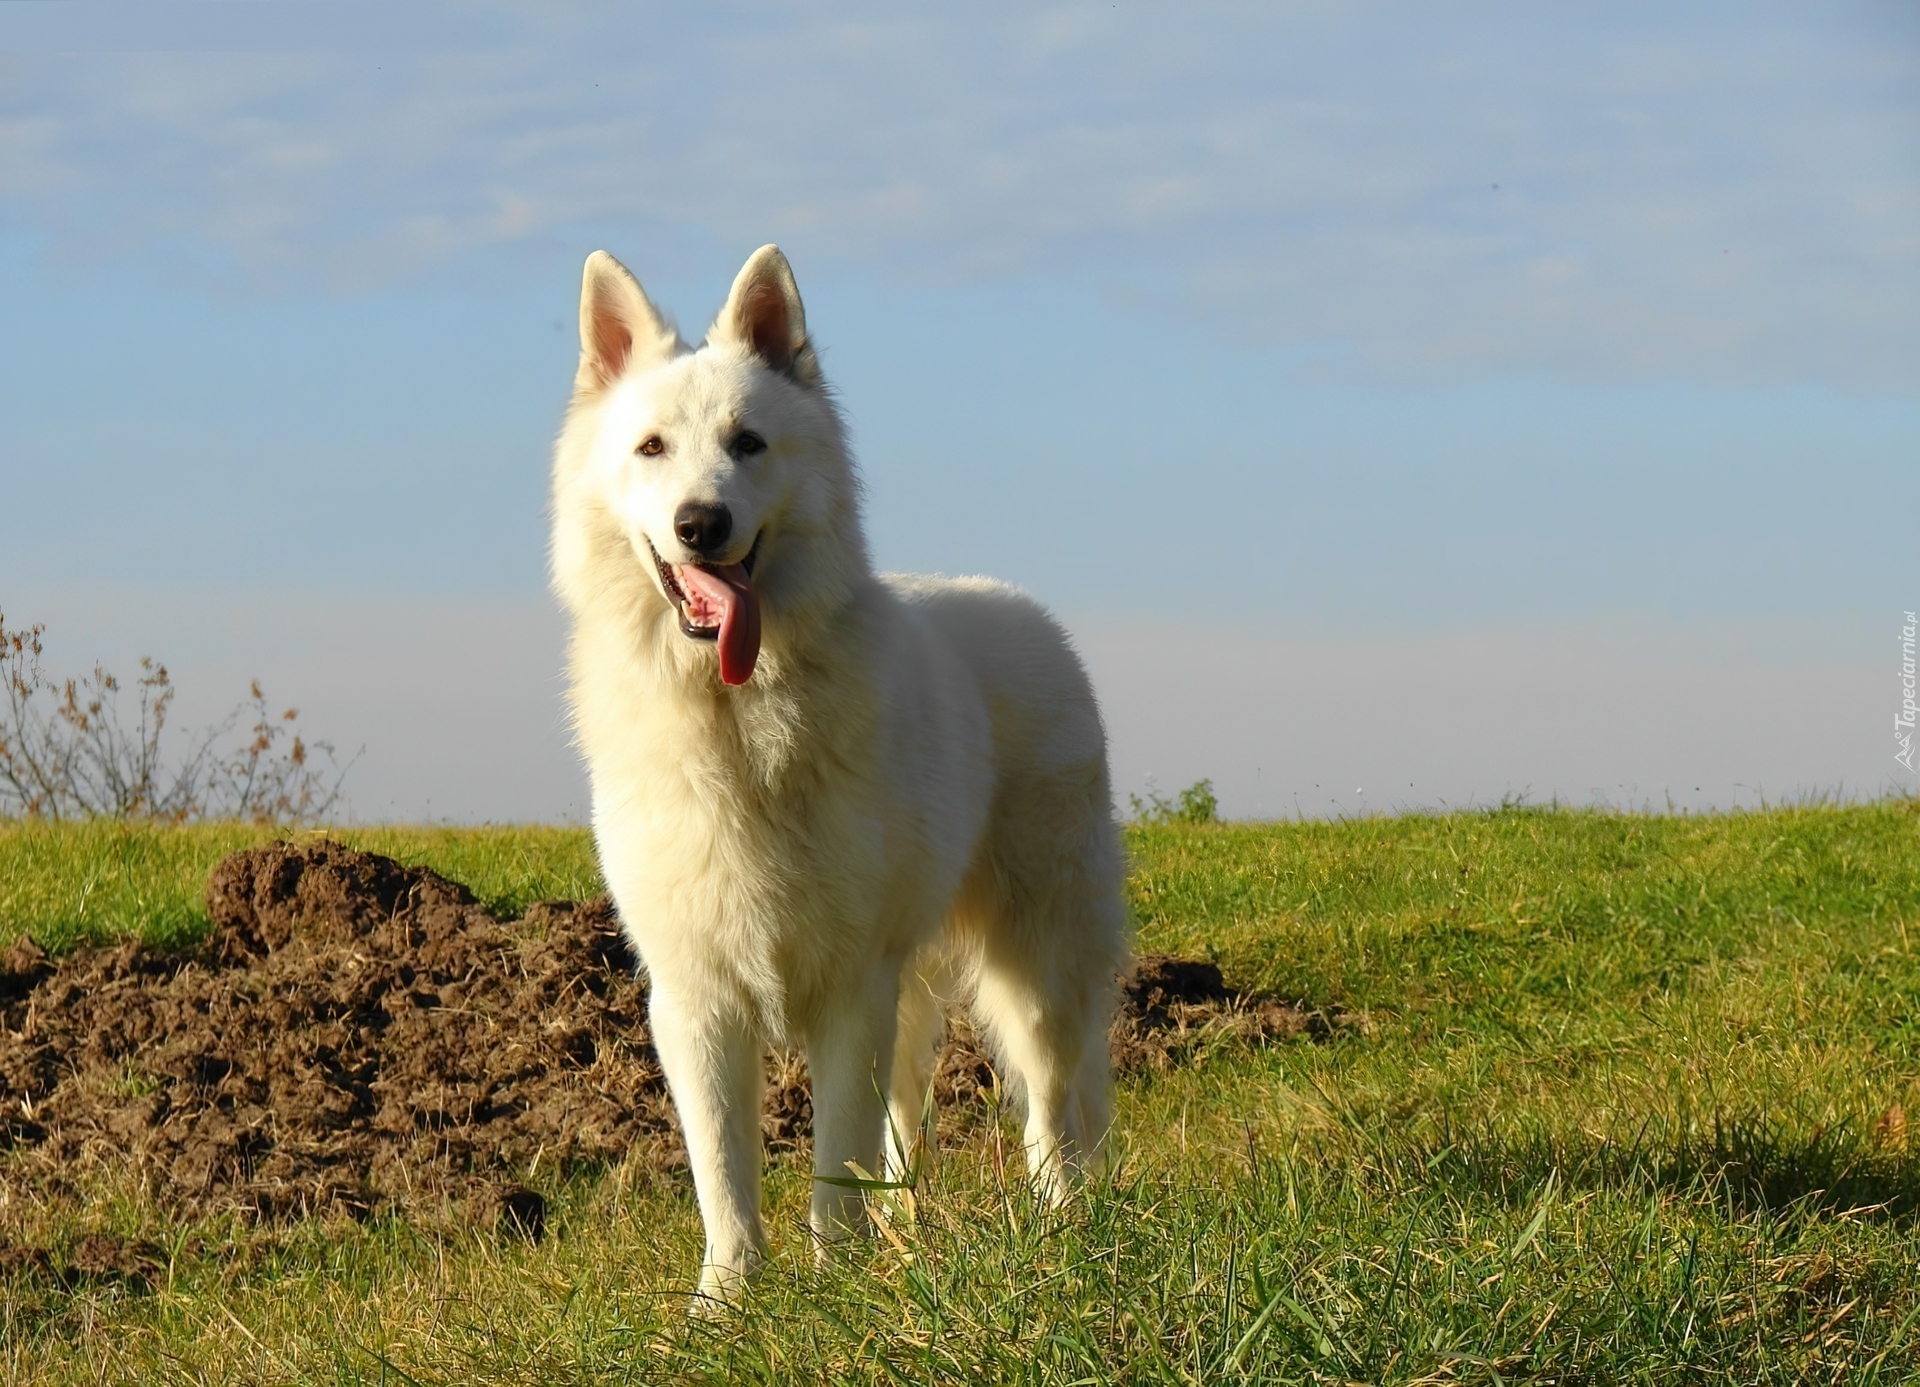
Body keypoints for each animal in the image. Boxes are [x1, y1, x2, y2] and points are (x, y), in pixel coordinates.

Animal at [549, 245, 1121, 1298]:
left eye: (748, 444)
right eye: (651, 448)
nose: (701, 523)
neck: (736, 725)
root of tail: (1027, 610)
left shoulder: (852, 987)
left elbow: (832, 1162)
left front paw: (838, 1283)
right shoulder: (695, 1001)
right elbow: (724, 1174)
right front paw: (730, 1301)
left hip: (1037, 968)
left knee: (1051, 1112)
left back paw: (1064, 1230)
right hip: (918, 988)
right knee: (909, 1125)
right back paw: (911, 1242)